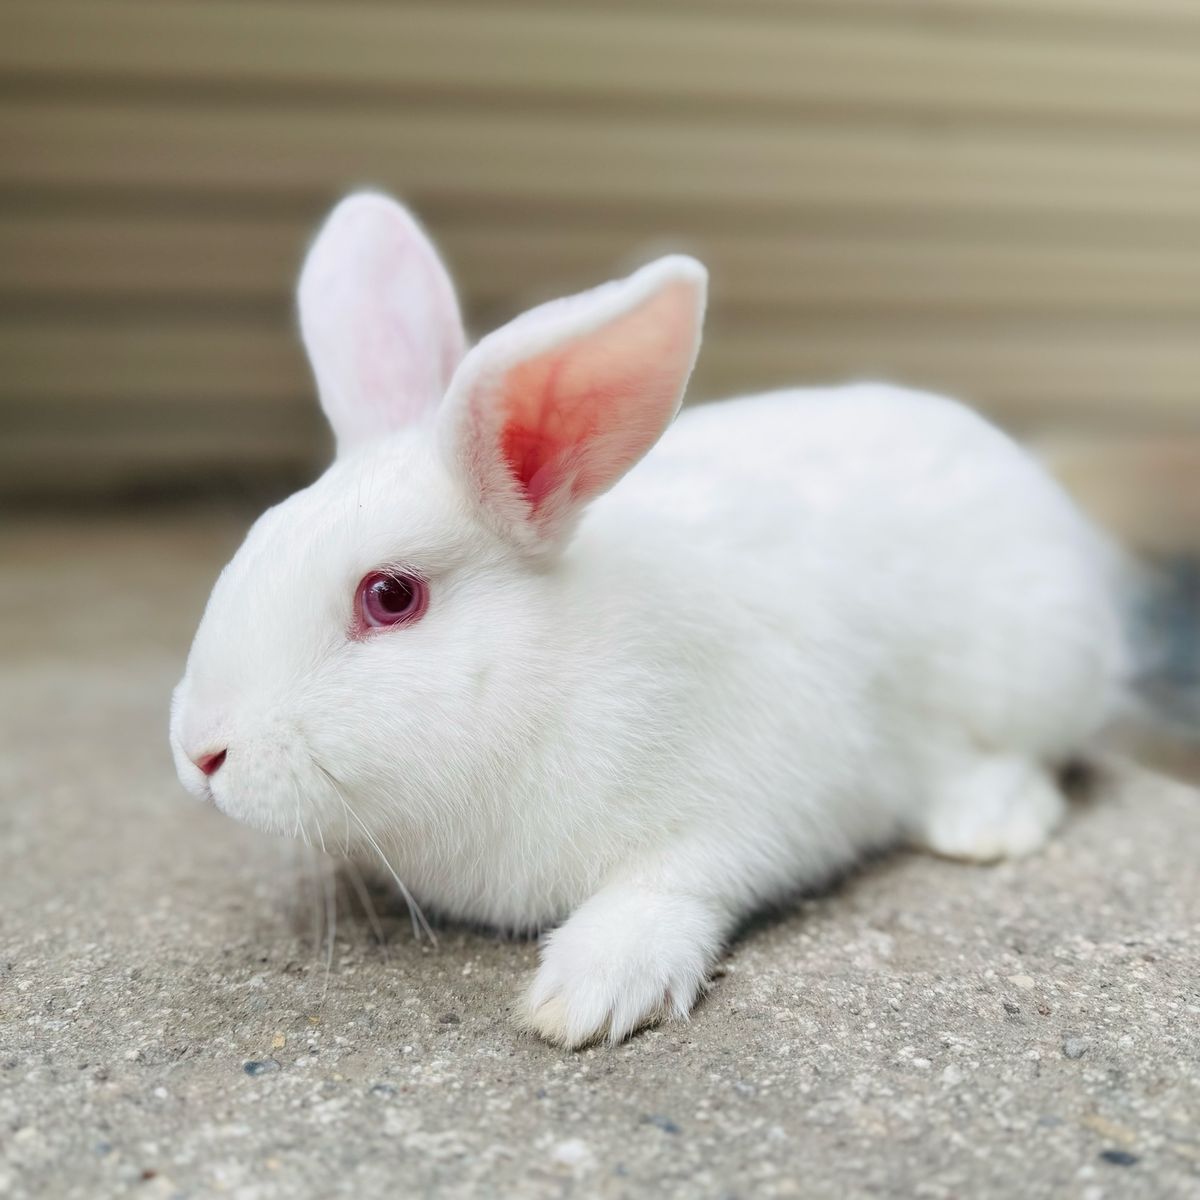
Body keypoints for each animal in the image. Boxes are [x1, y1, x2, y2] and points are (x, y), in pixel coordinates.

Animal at [171, 191, 1129, 1049]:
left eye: (390, 597)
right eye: (258, 536)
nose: (201, 755)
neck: (541, 677)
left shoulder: (754, 801)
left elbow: (673, 888)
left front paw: (587, 994)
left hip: (1036, 670)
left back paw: (985, 823)